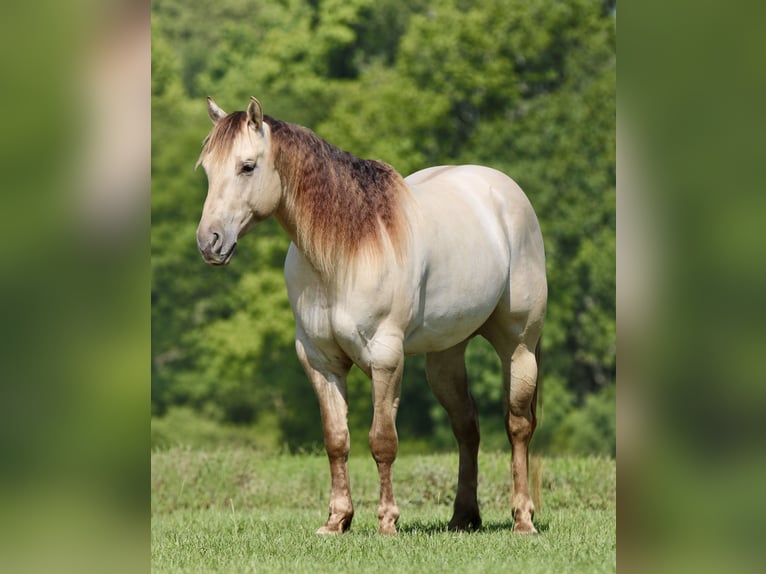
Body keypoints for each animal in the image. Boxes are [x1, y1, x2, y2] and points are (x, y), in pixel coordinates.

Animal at [196, 97, 547, 535]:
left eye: (247, 166)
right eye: (207, 168)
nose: (209, 242)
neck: (344, 251)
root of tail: (505, 191)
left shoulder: (385, 358)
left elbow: (383, 441)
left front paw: (387, 521)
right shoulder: (320, 361)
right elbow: (336, 439)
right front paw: (336, 520)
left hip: (519, 346)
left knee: (517, 426)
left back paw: (523, 519)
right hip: (446, 355)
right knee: (467, 426)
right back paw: (463, 517)